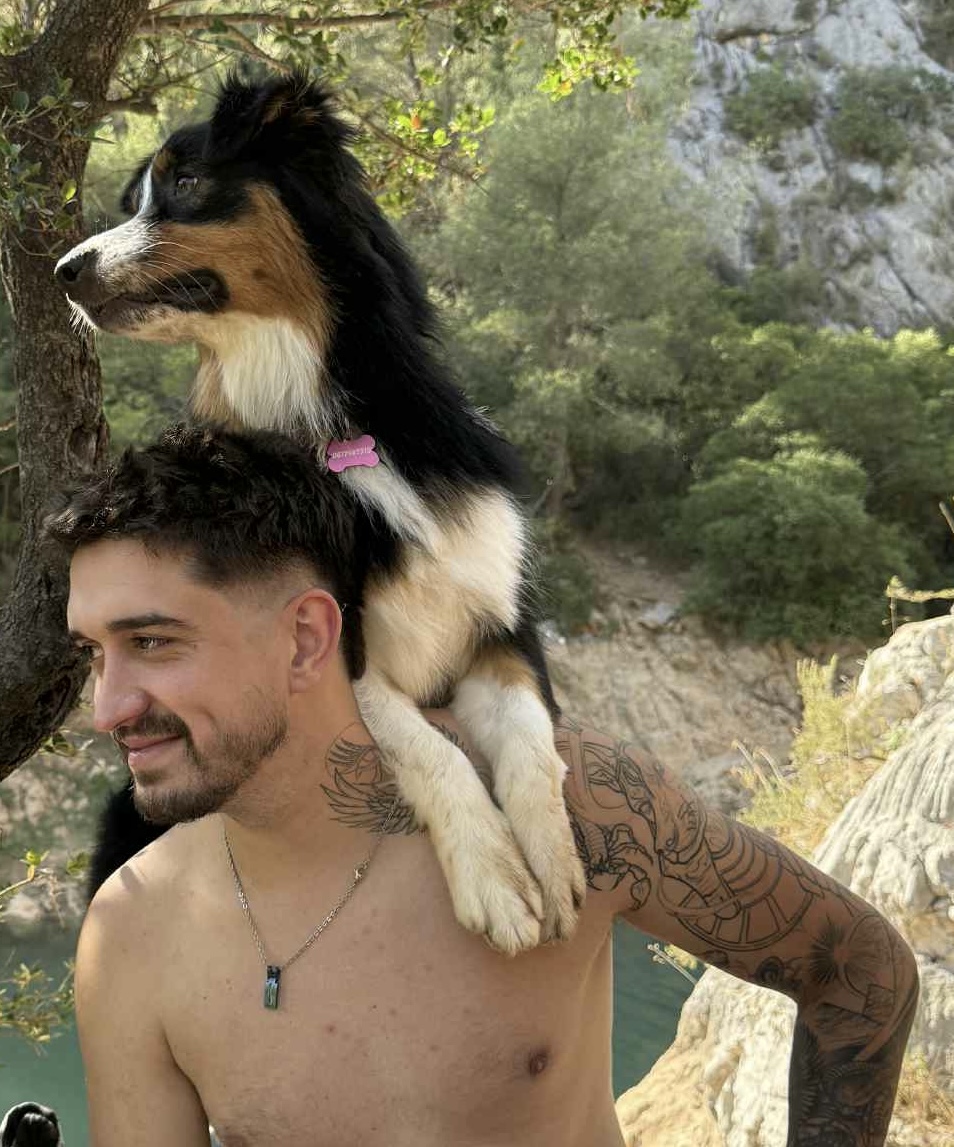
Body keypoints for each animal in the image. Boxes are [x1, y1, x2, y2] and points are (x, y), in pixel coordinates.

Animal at [54, 72, 585, 955]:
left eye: (186, 181)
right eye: (134, 201)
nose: (64, 269)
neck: (328, 424)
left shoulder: (497, 620)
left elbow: (532, 744)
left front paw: (554, 861)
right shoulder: (345, 655)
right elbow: (426, 745)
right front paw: (496, 876)